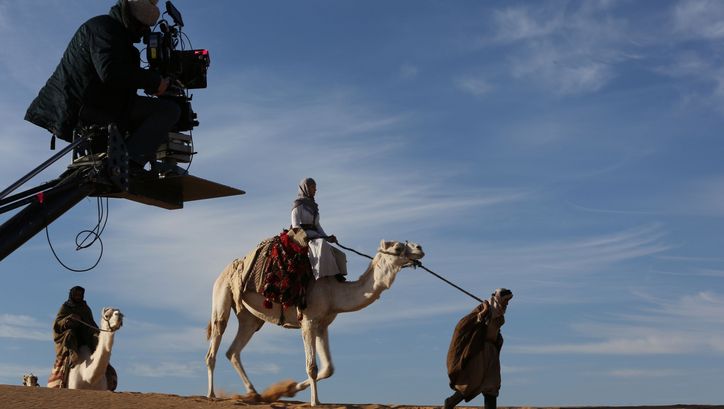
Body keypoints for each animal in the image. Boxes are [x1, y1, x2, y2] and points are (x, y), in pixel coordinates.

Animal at [205, 239, 424, 406]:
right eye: (397, 248)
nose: (420, 248)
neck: (334, 292)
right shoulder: (308, 321)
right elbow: (312, 366)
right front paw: (314, 402)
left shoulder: (322, 325)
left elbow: (328, 368)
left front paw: (289, 389)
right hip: (222, 296)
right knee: (215, 341)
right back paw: (211, 394)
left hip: (250, 318)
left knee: (233, 351)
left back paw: (254, 393)